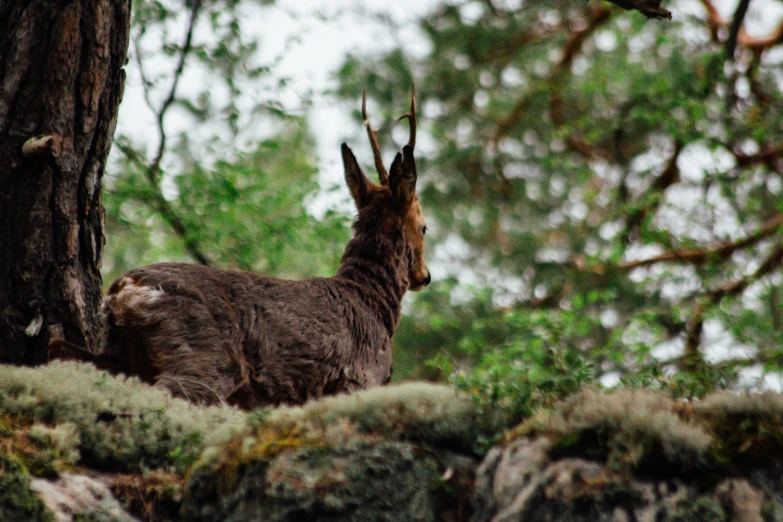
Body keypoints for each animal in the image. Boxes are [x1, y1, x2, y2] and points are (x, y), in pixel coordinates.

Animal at [50, 87, 428, 408]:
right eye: (425, 226)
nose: (424, 276)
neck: (372, 299)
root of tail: (125, 287)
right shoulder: (360, 377)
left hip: (123, 353)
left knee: (62, 350)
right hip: (205, 355)